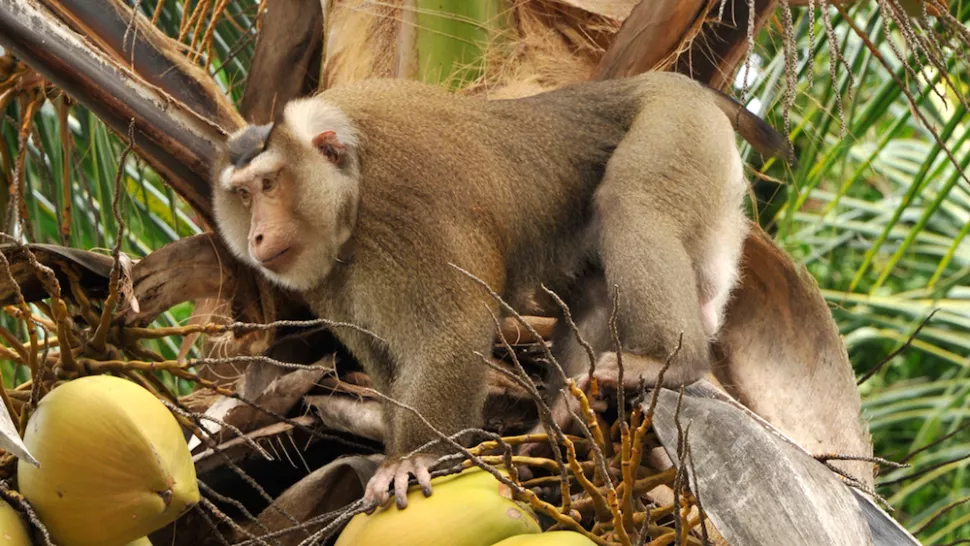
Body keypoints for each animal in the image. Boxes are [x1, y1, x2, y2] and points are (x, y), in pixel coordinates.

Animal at [210, 71, 792, 511]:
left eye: (270, 184)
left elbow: (453, 328)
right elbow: (384, 364)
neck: (351, 194)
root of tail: (664, 77)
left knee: (630, 201)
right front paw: (401, 451)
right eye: (244, 195)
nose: (256, 235)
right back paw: (559, 420)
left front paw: (414, 458)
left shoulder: (406, 200)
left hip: (678, 125)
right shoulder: (327, 278)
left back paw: (671, 362)